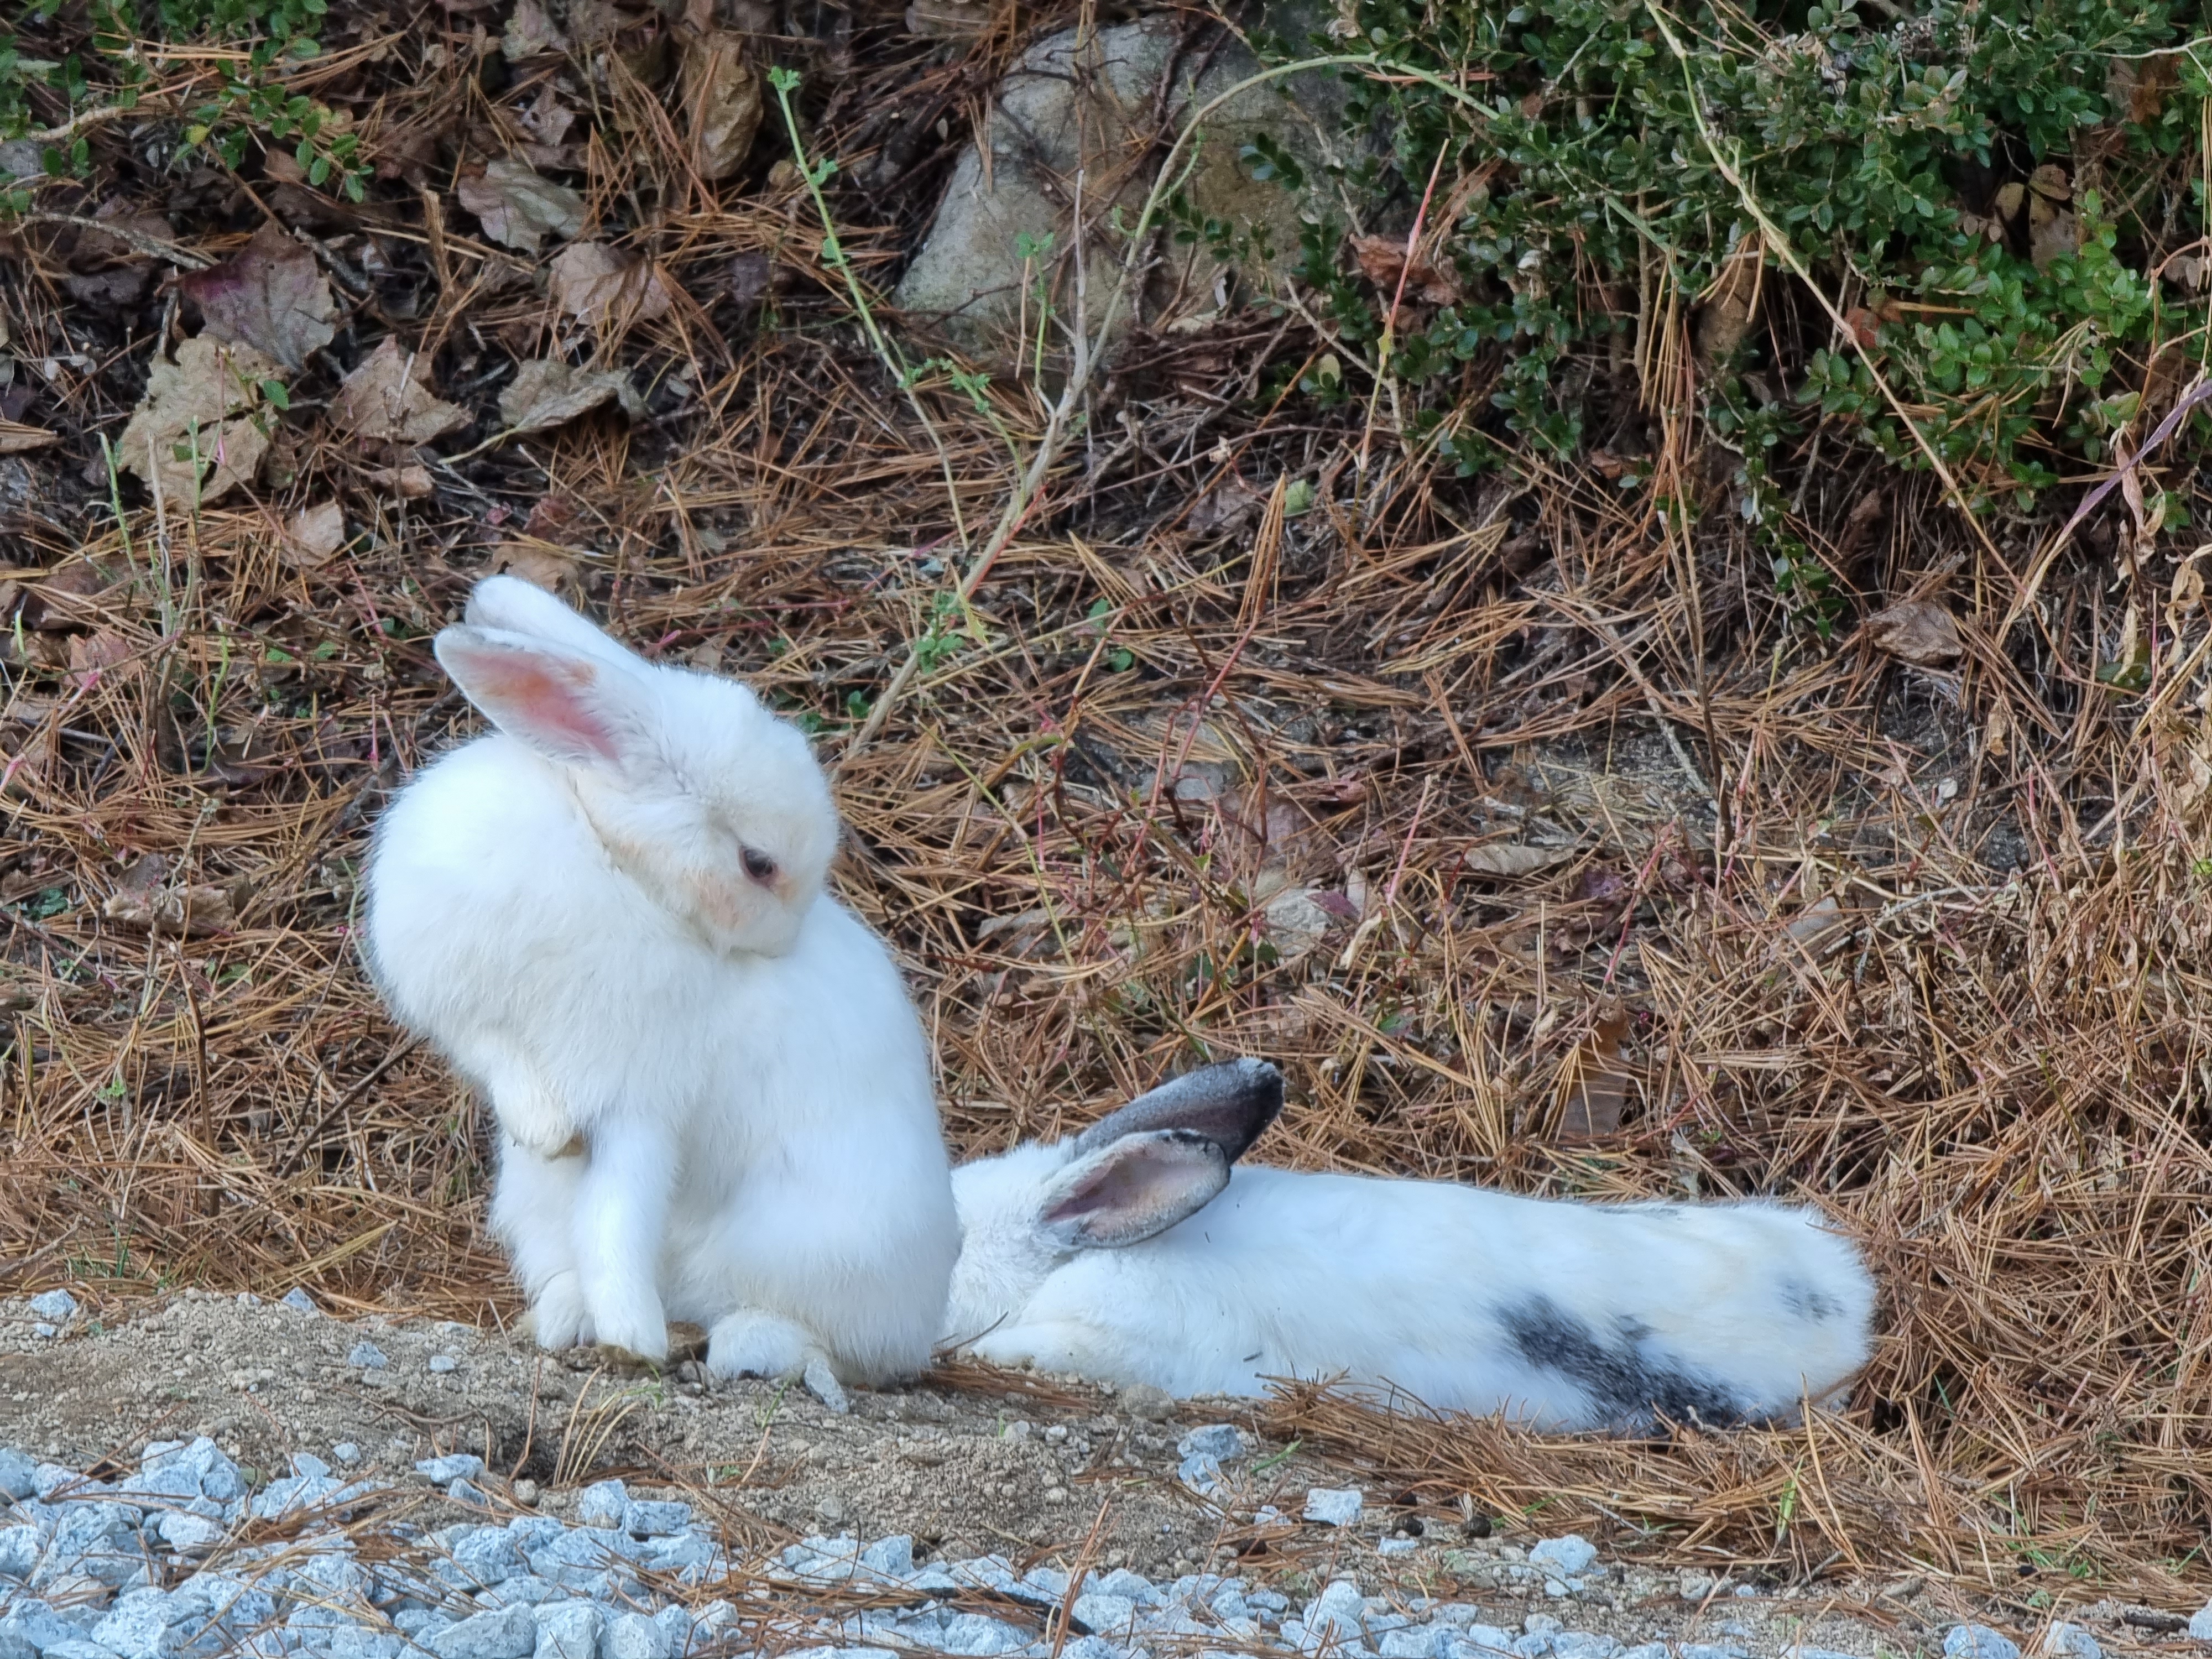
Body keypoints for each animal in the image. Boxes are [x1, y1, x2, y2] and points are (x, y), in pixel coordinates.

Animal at [364, 574, 959, 1386]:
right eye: (758, 864)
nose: (781, 945)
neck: (613, 858)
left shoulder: (641, 1098)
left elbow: (620, 1208)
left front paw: (632, 1339)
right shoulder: (475, 1020)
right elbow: (511, 1071)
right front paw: (547, 1133)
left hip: (821, 1260)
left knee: (816, 1341)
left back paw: (724, 1340)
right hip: (535, 1210)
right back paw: (560, 1318)